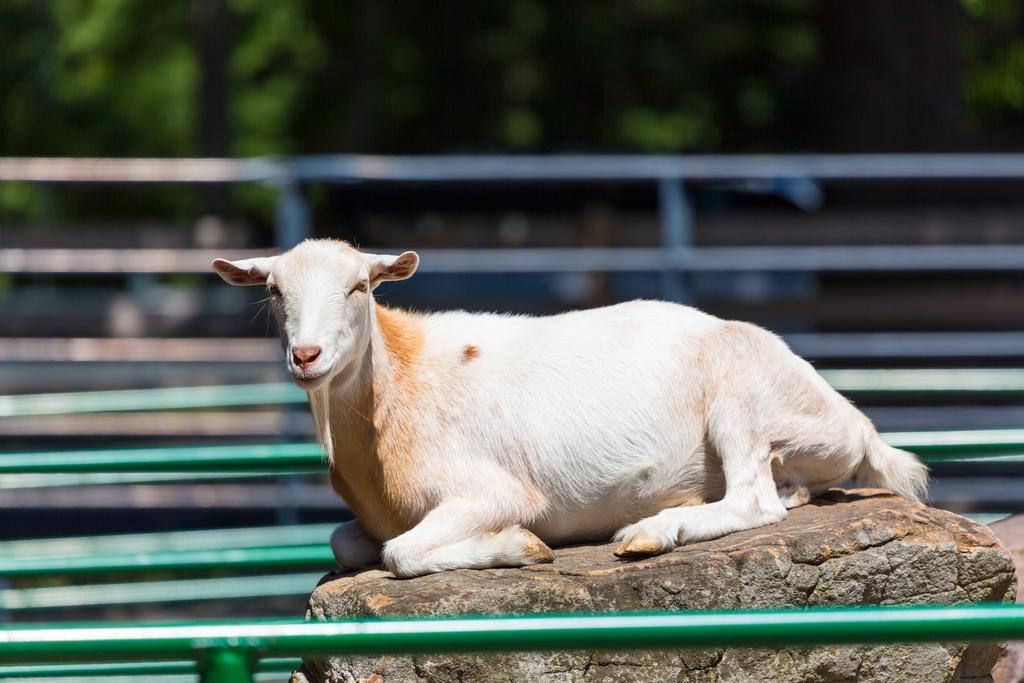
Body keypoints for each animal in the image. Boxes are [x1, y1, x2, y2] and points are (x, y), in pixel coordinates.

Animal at [214, 239, 929, 577]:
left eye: (360, 287)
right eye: (273, 291)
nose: (306, 356)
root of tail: (855, 423)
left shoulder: (494, 489)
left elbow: (399, 554)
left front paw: (520, 548)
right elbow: (346, 542)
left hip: (739, 392)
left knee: (754, 500)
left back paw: (649, 531)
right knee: (783, 496)